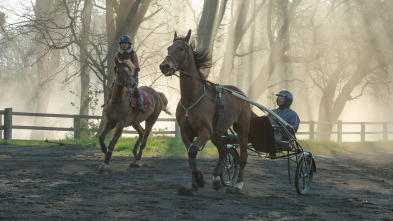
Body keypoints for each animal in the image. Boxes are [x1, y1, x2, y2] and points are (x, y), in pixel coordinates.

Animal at [158, 29, 250, 195]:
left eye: (181, 49)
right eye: (169, 48)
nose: (165, 66)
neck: (191, 99)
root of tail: (240, 94)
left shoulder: (205, 131)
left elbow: (193, 150)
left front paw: (200, 179)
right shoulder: (186, 133)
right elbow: (190, 154)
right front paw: (194, 185)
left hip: (242, 129)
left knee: (243, 156)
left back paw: (238, 185)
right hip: (217, 133)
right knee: (223, 151)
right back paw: (216, 179)